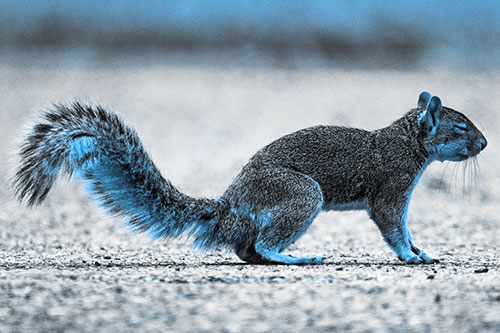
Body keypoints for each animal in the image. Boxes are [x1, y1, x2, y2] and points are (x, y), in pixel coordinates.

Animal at [13, 91, 486, 264]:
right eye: (459, 127)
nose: (483, 143)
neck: (407, 141)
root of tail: (230, 206)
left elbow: (404, 226)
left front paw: (421, 250)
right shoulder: (391, 185)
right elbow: (392, 226)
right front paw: (411, 256)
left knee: (246, 250)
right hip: (300, 194)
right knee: (261, 244)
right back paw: (295, 258)